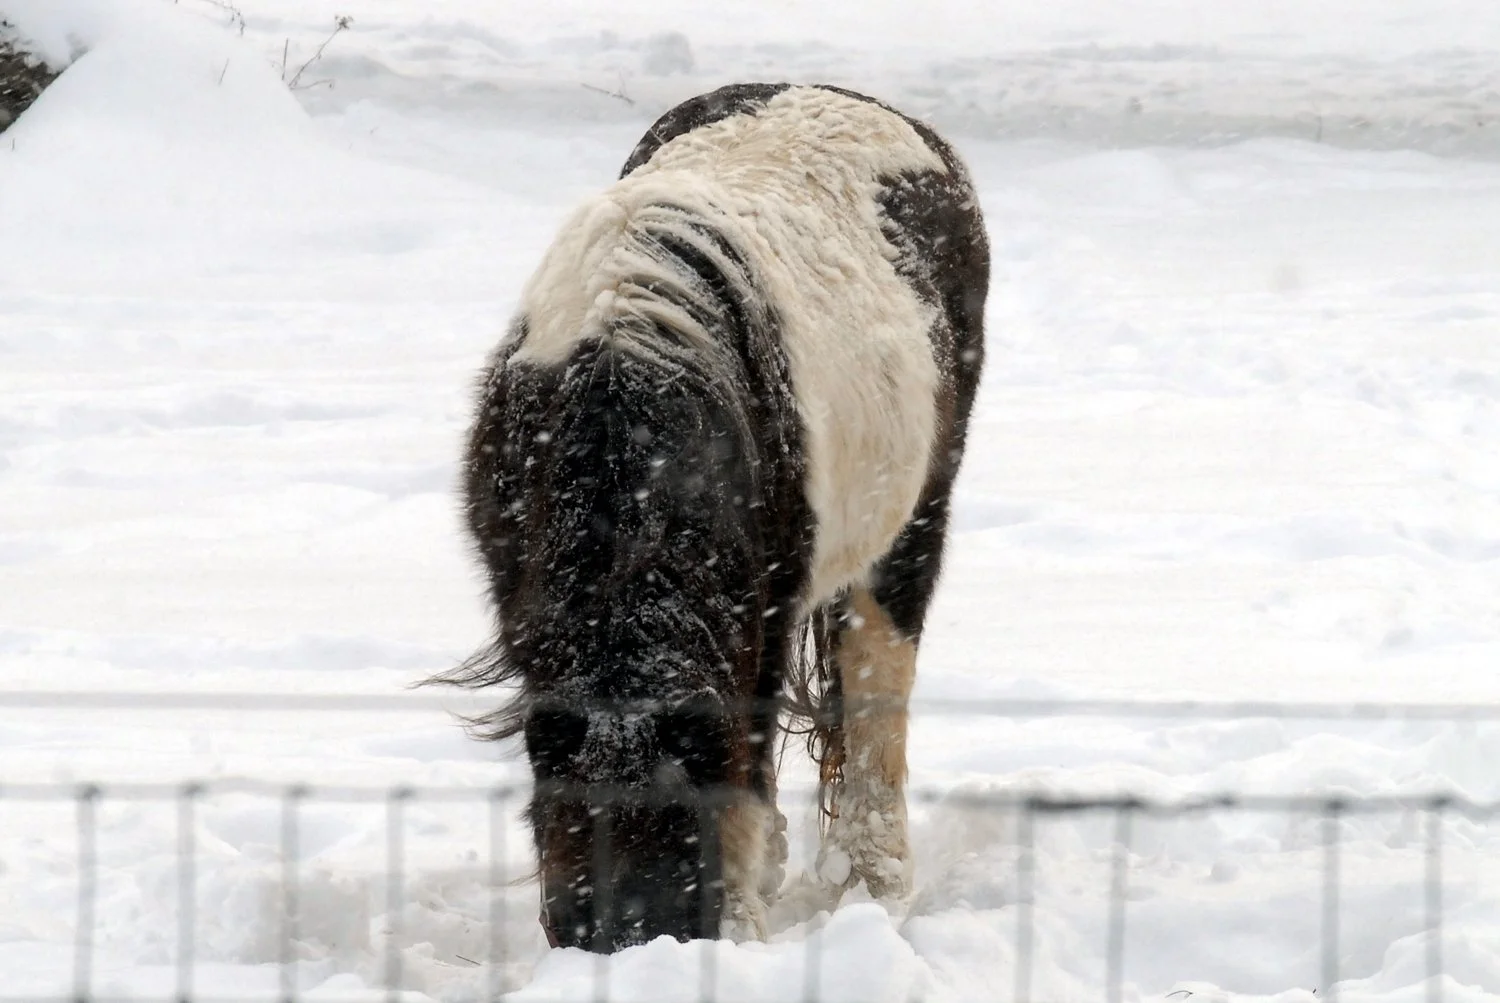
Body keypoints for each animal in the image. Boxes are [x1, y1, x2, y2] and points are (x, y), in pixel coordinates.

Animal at [434, 83, 988, 952]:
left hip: (911, 526)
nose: (630, 948)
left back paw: (874, 881)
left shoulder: (760, 605)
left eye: (676, 860)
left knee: (876, 684)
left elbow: (746, 769)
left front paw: (741, 926)